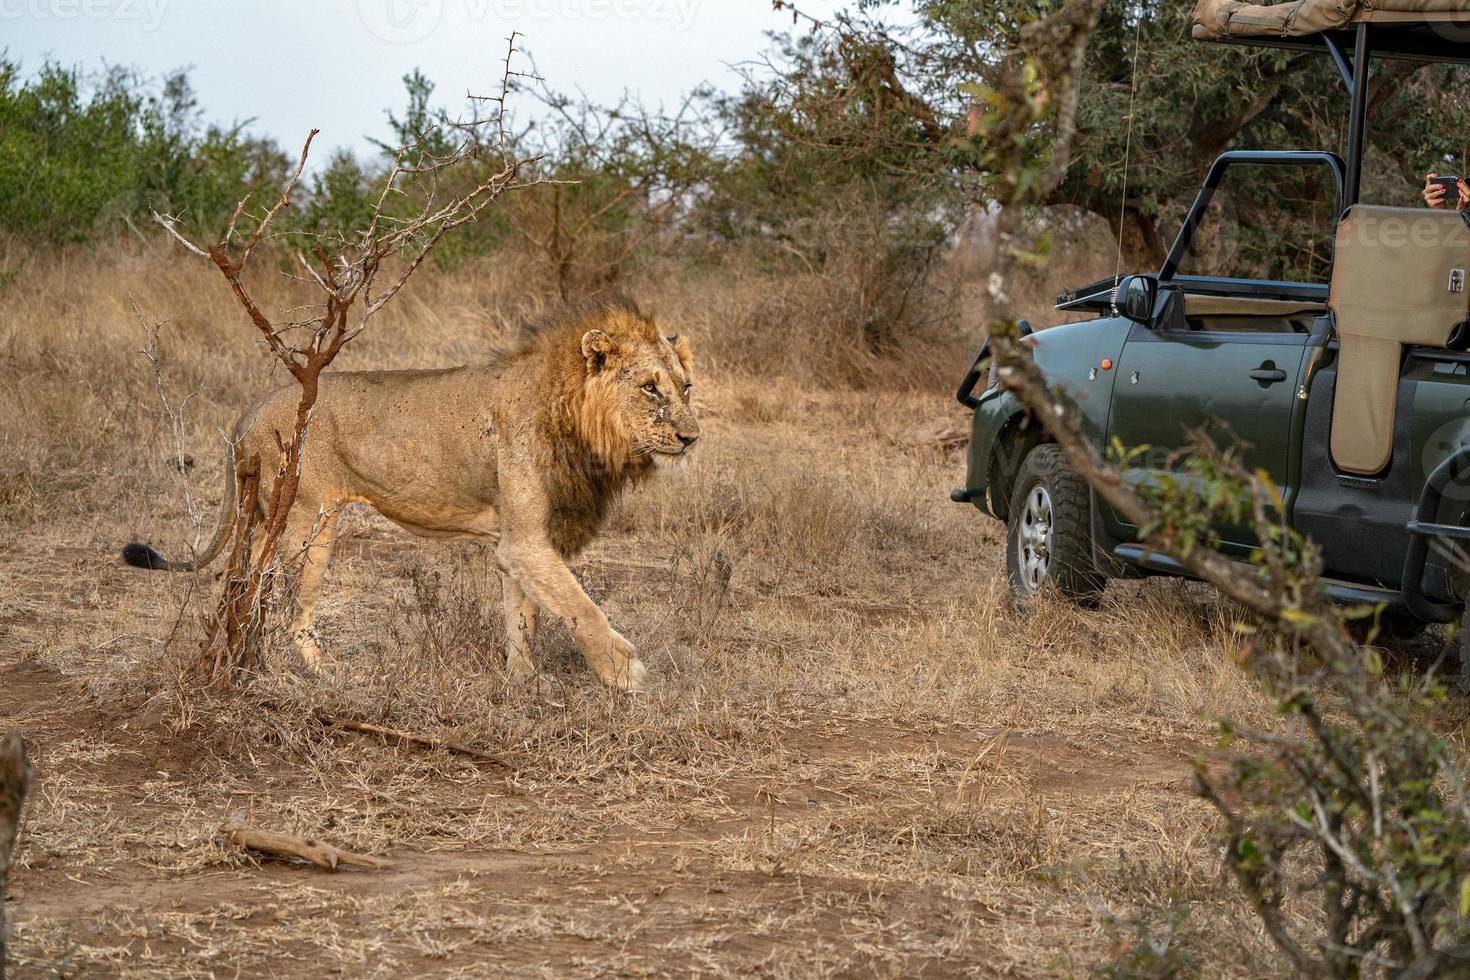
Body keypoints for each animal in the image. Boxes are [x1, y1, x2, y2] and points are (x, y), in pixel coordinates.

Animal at [122, 296, 699, 690]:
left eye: (685, 387)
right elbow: (581, 607)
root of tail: (251, 408)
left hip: (267, 516)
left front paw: (523, 680)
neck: (583, 429)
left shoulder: (520, 542)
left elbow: (525, 616)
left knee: (245, 584)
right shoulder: (527, 542)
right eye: (650, 388)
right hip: (309, 521)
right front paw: (627, 674)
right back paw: (324, 672)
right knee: (291, 612)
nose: (692, 437)